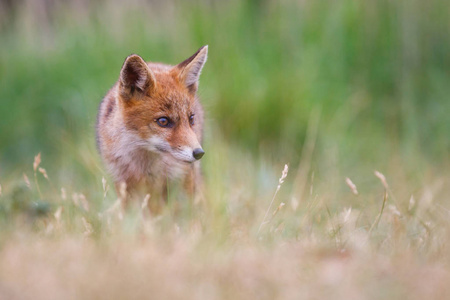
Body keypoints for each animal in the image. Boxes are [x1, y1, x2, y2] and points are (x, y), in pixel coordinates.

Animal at [97, 45, 209, 209]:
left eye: (191, 119)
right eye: (163, 121)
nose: (199, 153)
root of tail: (157, 63)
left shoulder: (179, 179)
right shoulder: (124, 184)